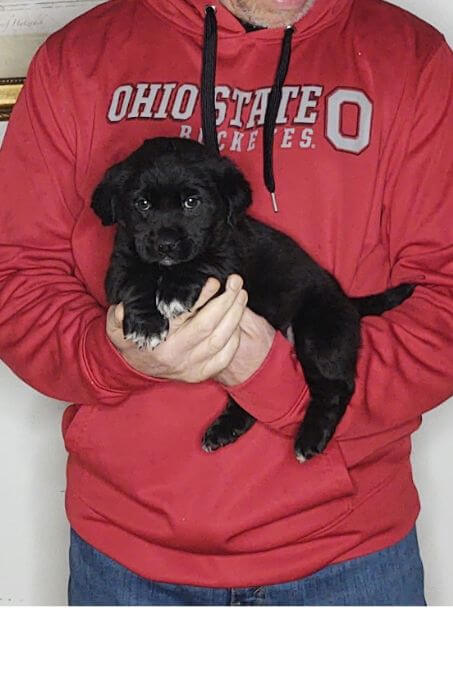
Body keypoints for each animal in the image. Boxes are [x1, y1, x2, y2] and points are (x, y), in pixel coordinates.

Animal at [92, 138, 414, 462]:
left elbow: (202, 261)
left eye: (192, 202)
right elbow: (136, 280)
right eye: (142, 204)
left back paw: (310, 439)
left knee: (337, 387)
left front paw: (175, 291)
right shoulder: (120, 264)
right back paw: (224, 430)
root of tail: (347, 300)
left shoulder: (227, 258)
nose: (165, 245)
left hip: (321, 334)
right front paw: (146, 324)